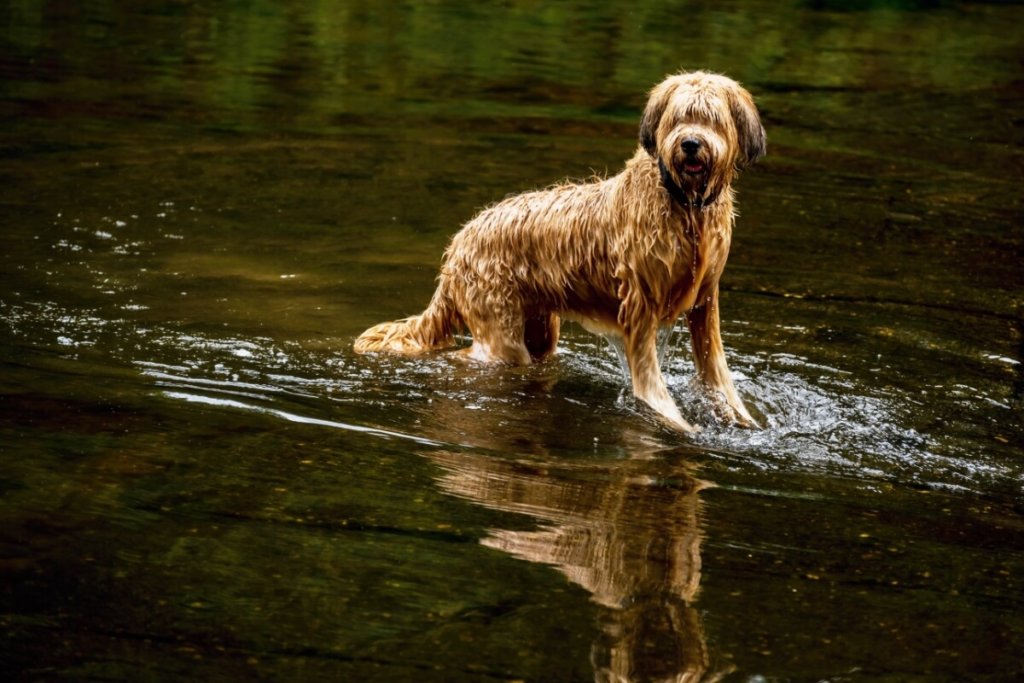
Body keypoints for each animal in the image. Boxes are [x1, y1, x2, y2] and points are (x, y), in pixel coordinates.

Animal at [356, 70, 765, 432]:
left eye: (712, 118)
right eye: (679, 116)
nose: (690, 143)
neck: (684, 204)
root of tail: (457, 246)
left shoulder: (705, 301)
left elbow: (715, 369)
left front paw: (741, 418)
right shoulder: (639, 306)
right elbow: (650, 381)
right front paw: (674, 422)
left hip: (538, 328)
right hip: (500, 332)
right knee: (467, 357)